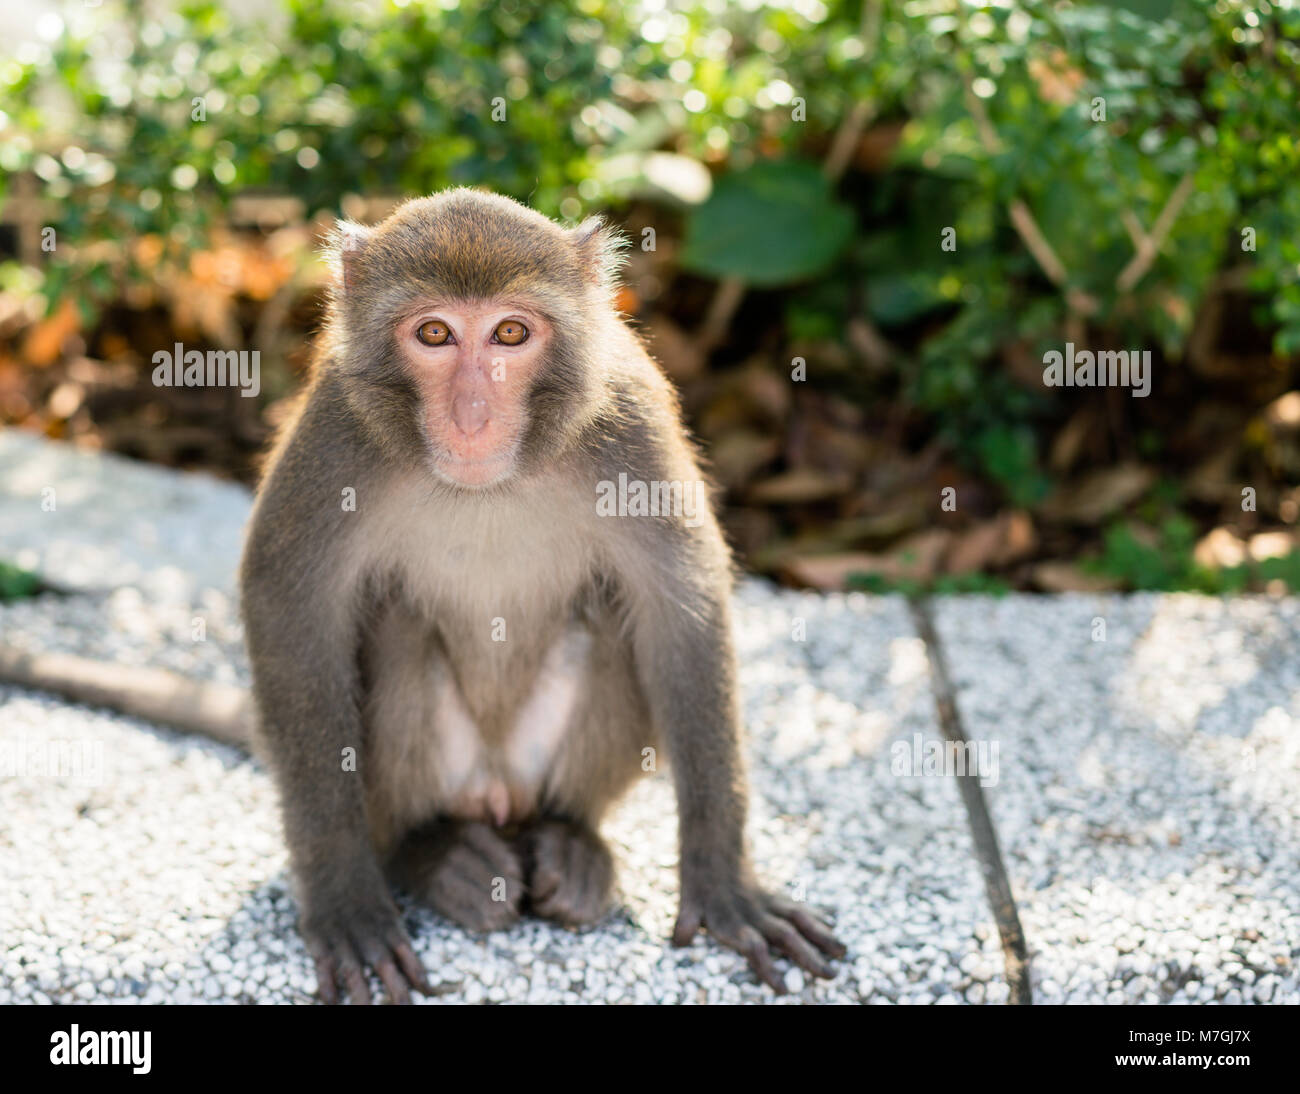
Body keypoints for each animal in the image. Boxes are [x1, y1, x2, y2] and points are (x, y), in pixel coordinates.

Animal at [0, 189, 842, 997]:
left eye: (510, 334)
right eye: (434, 335)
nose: (472, 415)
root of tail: (497, 794)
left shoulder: (628, 420)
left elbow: (679, 607)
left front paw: (727, 886)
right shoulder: (336, 429)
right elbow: (292, 611)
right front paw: (345, 899)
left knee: (605, 617)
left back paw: (568, 841)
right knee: (400, 629)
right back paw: (429, 855)